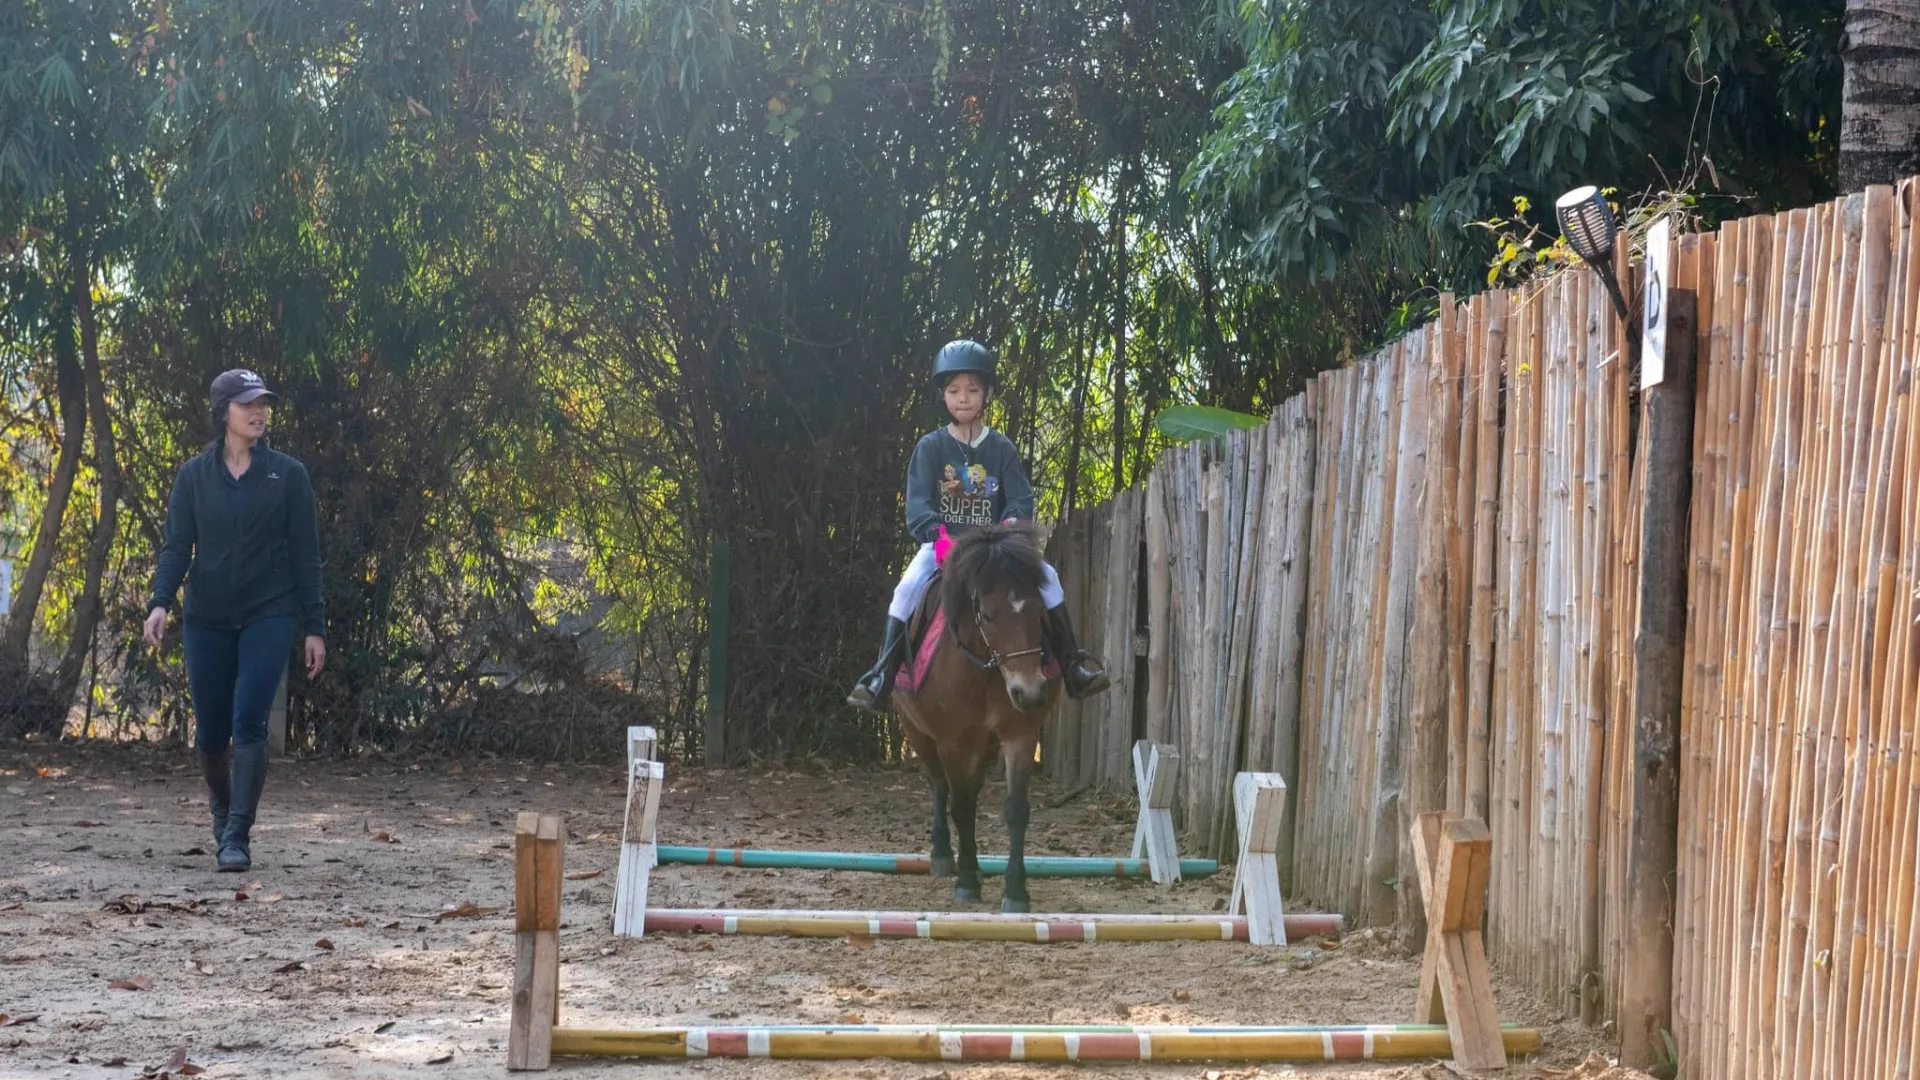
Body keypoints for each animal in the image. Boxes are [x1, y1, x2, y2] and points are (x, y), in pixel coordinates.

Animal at [892, 522, 1059, 913]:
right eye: (989, 614)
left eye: (1039, 612)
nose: (1030, 692)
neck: (985, 667)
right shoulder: (950, 741)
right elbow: (962, 806)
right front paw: (966, 880)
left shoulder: (1019, 735)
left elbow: (1016, 810)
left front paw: (1015, 890)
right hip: (916, 732)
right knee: (940, 786)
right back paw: (943, 856)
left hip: (985, 744)